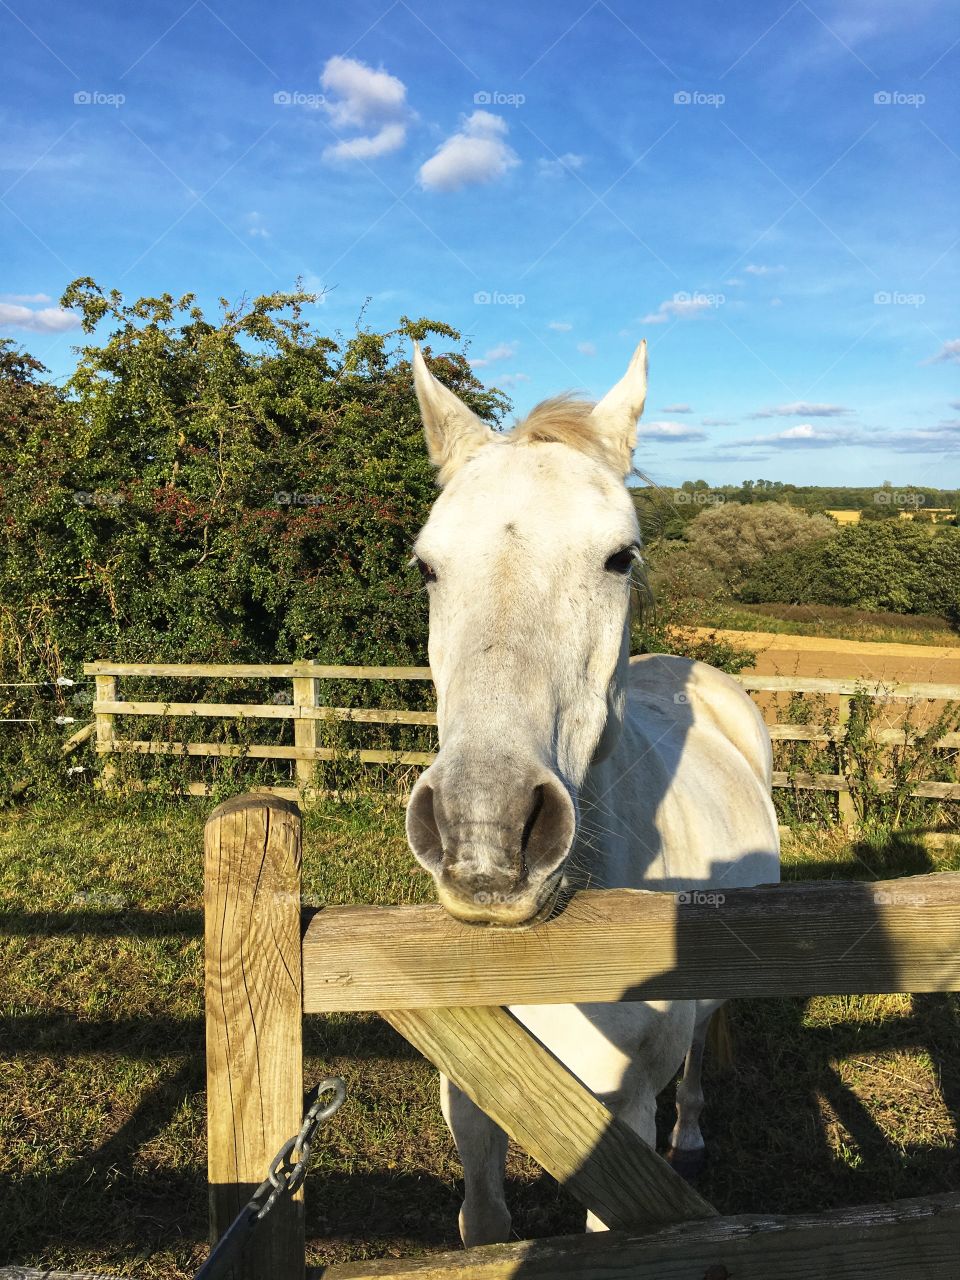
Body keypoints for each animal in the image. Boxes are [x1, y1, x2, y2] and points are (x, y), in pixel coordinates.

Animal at [407, 337, 783, 1239]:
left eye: (620, 558)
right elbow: (484, 1229)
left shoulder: (620, 1131)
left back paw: (693, 1138)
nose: (485, 832)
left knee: (697, 1059)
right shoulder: (473, 1101)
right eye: (428, 566)